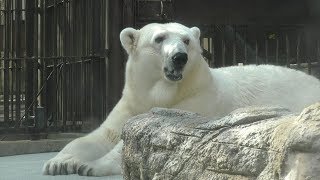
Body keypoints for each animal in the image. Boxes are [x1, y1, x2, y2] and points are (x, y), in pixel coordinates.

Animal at [42, 22, 320, 176]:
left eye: (187, 40)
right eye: (159, 38)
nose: (179, 57)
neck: (166, 92)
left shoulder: (196, 101)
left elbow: (125, 141)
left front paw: (89, 166)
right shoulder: (131, 102)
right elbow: (101, 135)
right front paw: (59, 162)